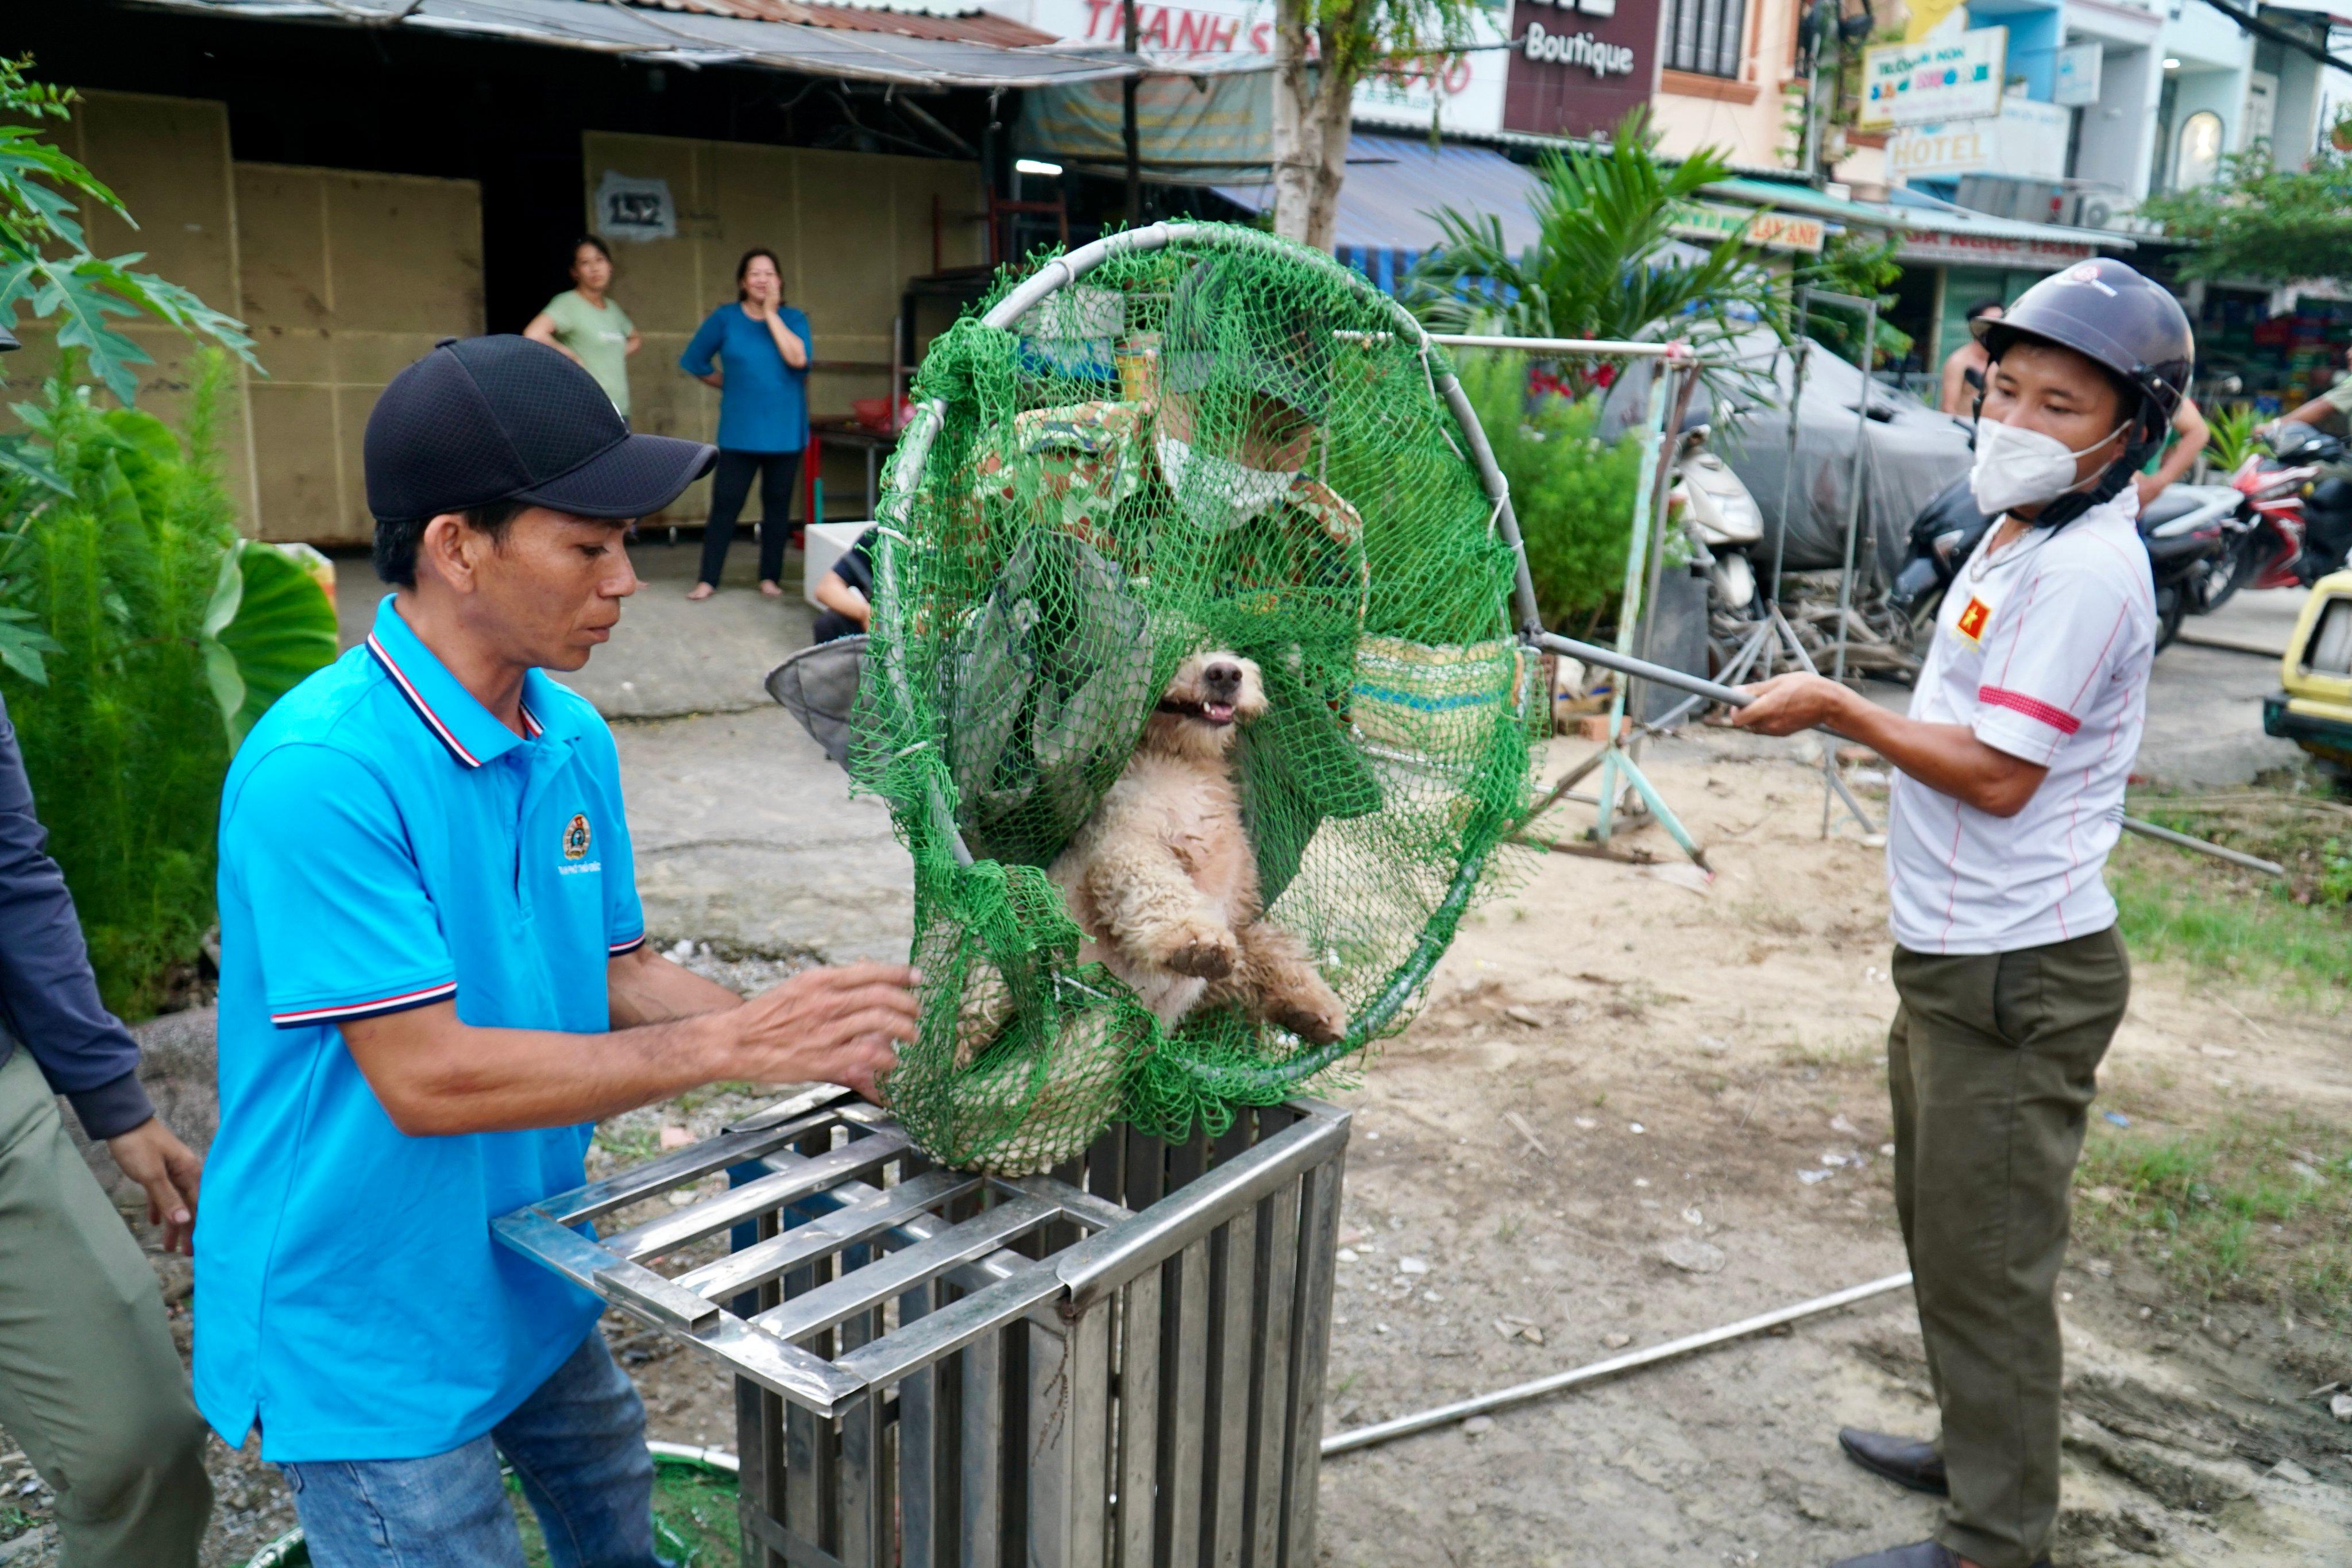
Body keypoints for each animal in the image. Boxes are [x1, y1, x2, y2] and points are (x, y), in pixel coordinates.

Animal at [1044, 653, 1354, 1053]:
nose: (1225, 673)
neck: (1185, 758)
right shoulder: (1124, 841)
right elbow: (1159, 888)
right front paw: (1196, 941)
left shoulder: (1232, 911)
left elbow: (1265, 947)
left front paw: (1312, 1004)